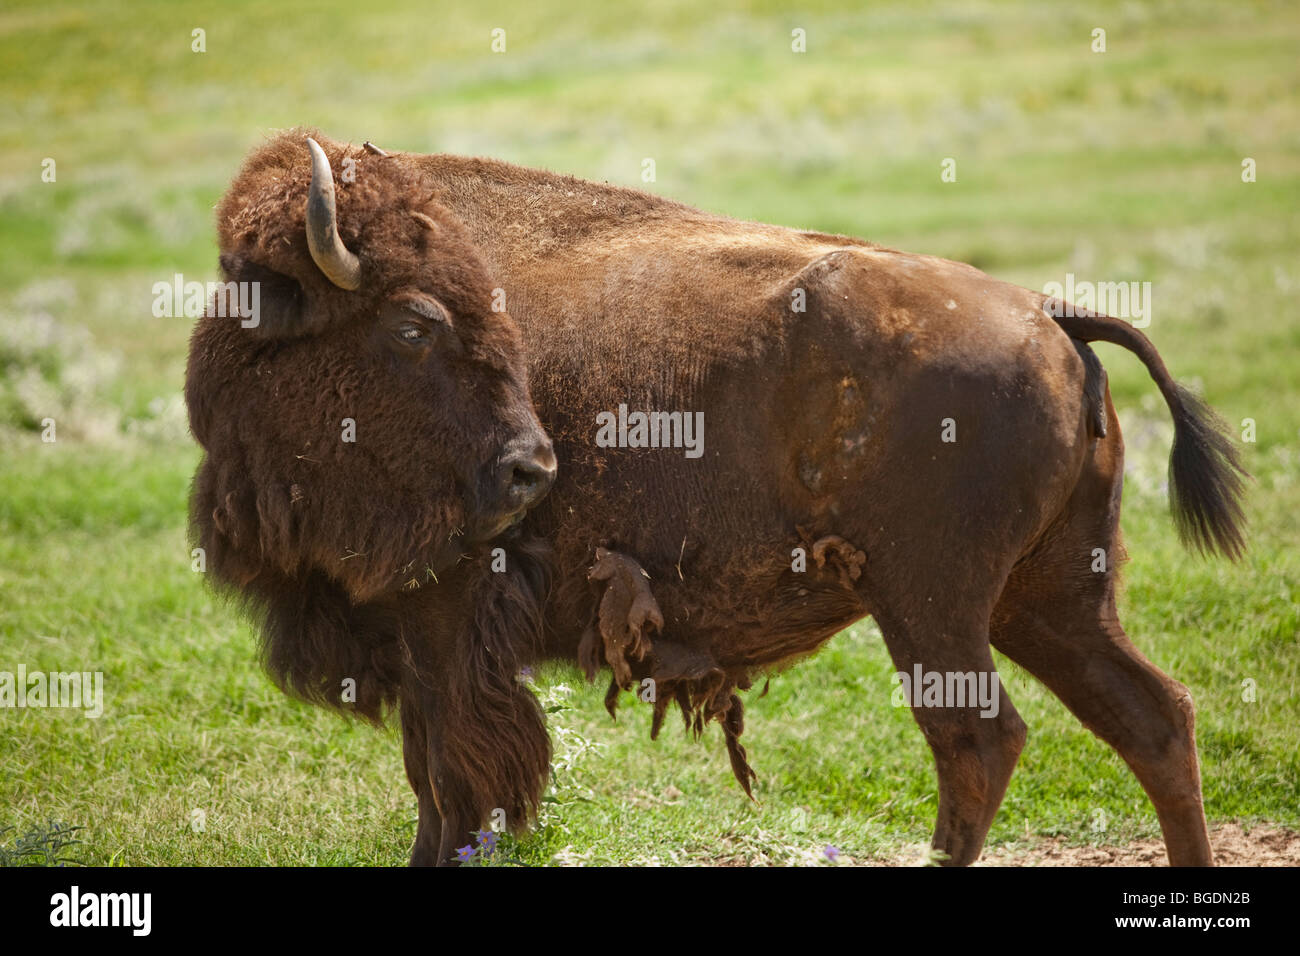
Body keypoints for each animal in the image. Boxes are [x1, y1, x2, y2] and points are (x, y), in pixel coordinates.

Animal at [186, 129, 1247, 867]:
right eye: (414, 324)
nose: (533, 471)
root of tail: (1052, 316)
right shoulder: (414, 634)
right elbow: (431, 778)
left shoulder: (443, 621)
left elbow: (451, 778)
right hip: (1050, 596)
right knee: (1153, 717)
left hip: (933, 605)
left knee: (979, 741)